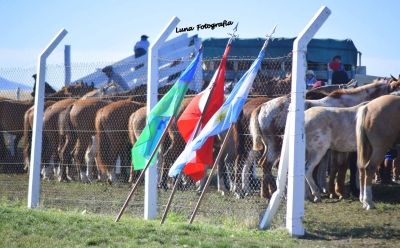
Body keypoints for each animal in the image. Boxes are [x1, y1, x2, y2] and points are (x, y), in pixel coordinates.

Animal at [248, 79, 398, 200]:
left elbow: (330, 168)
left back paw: (268, 192)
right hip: (277, 146)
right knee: (269, 164)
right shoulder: (343, 150)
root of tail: (262, 107)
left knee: (265, 163)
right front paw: (339, 191)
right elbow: (340, 167)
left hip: (271, 146)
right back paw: (276, 192)